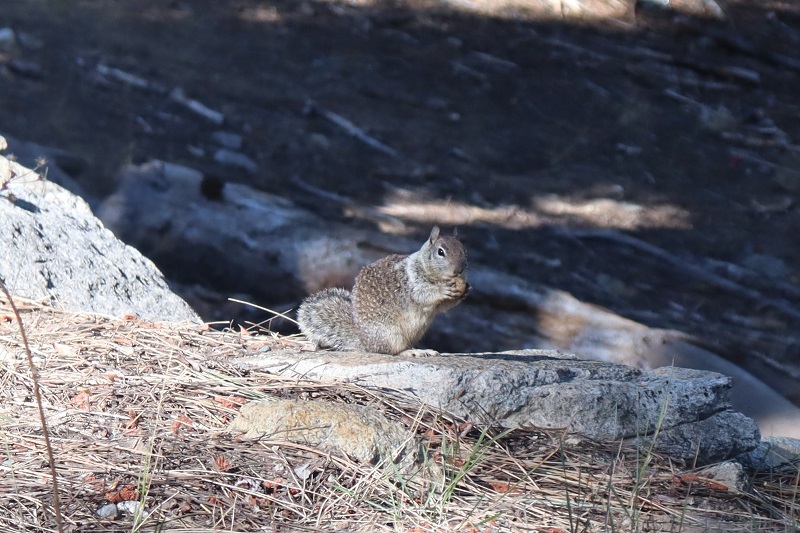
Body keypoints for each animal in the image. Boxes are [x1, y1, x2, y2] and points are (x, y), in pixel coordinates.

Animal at [296, 224, 468, 354]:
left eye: (464, 250)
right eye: (440, 252)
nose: (459, 270)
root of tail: (364, 342)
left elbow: (443, 306)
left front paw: (466, 290)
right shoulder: (412, 282)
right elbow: (422, 295)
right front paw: (443, 290)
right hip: (391, 334)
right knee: (392, 351)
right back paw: (412, 352)